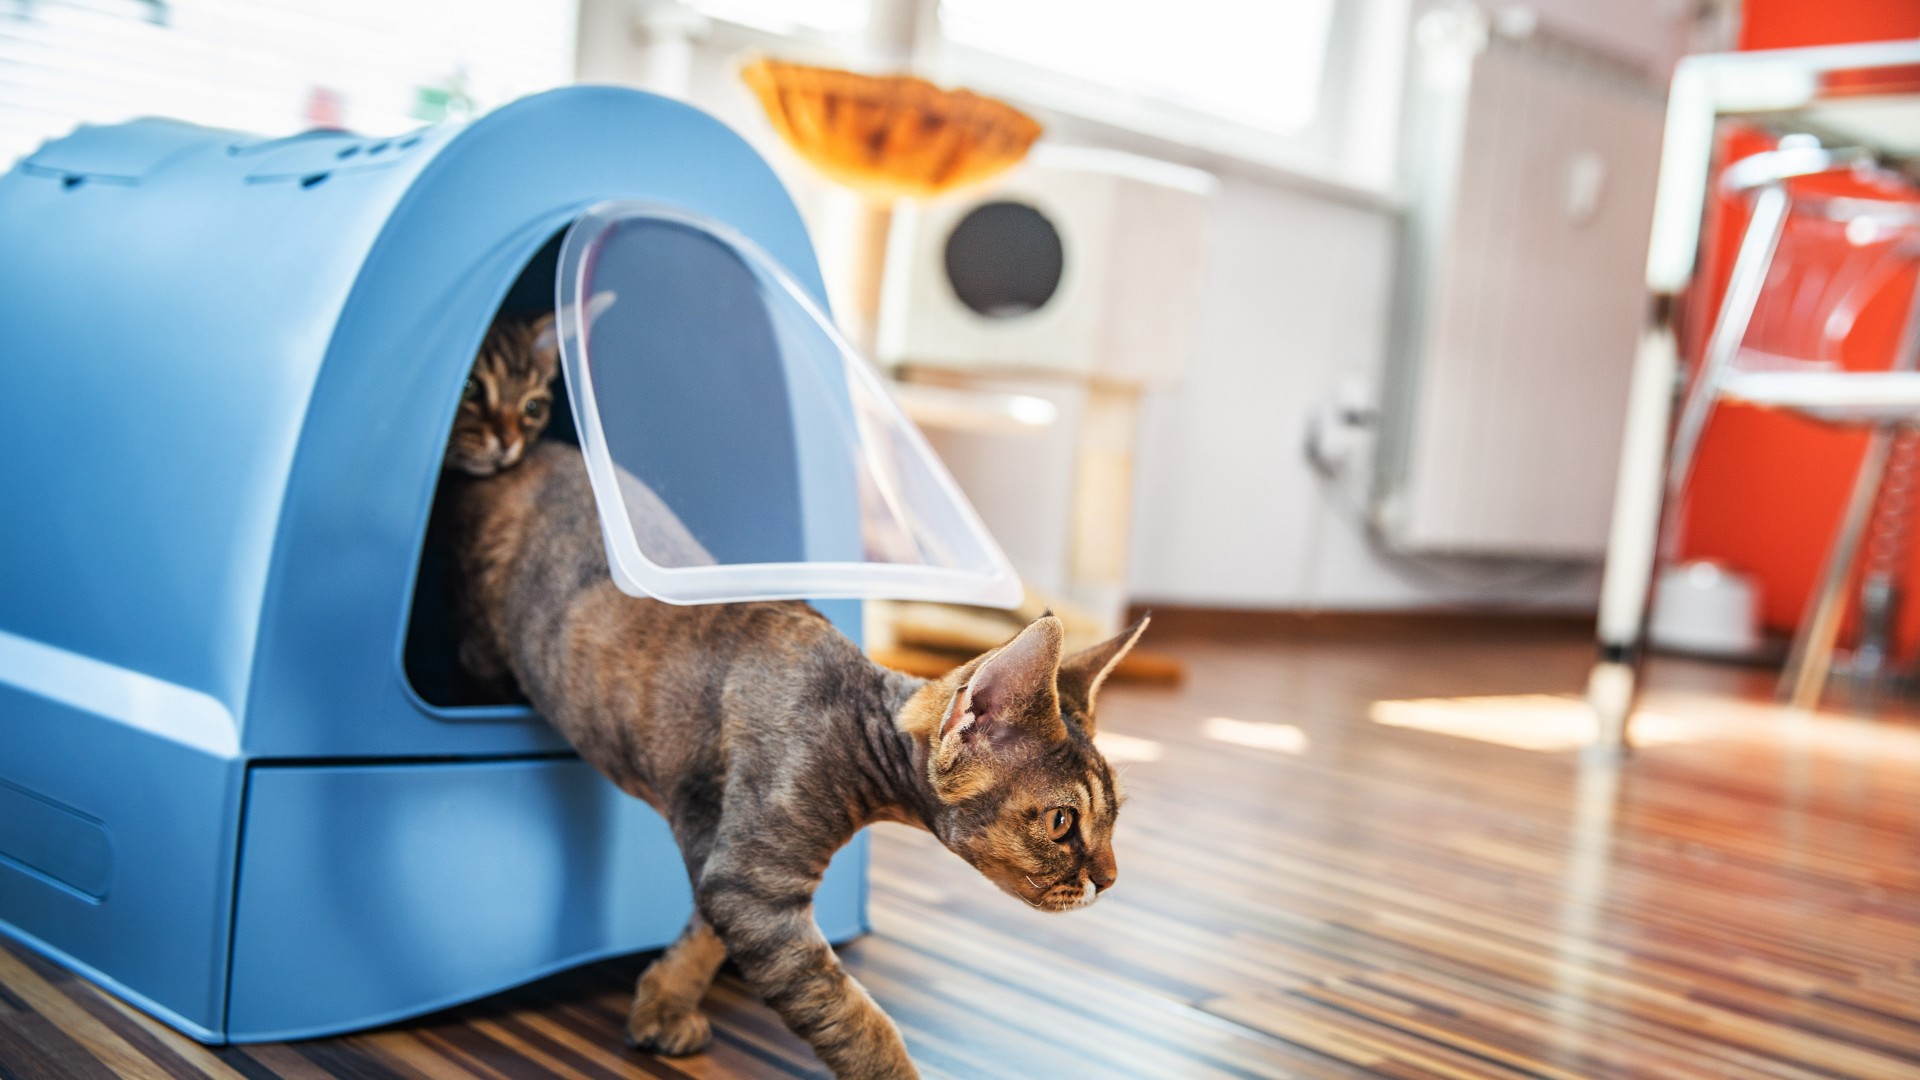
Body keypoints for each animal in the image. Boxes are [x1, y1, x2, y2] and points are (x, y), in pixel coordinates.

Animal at [441, 440, 1144, 1076]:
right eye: (1061, 822)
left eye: (1113, 820)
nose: (1111, 881)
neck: (853, 716)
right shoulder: (753, 883)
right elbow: (855, 1018)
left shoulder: (725, 856)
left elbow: (704, 930)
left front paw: (663, 1003)